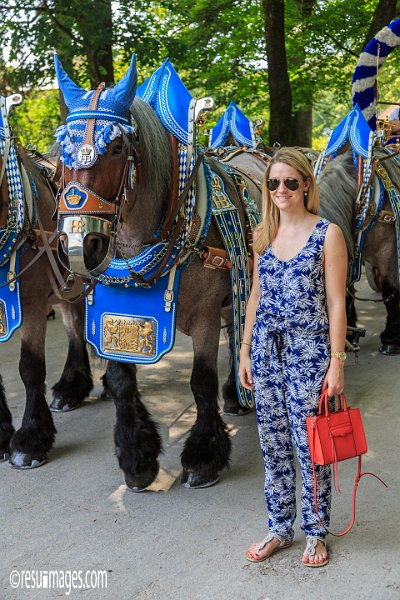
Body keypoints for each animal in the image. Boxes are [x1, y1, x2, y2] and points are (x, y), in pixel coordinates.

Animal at [52, 54, 266, 490]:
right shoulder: (113, 312)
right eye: (62, 148)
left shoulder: (203, 317)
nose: (80, 243)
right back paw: (235, 394)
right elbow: (121, 381)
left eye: (117, 147)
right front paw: (137, 457)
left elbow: (200, 382)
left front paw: (203, 456)